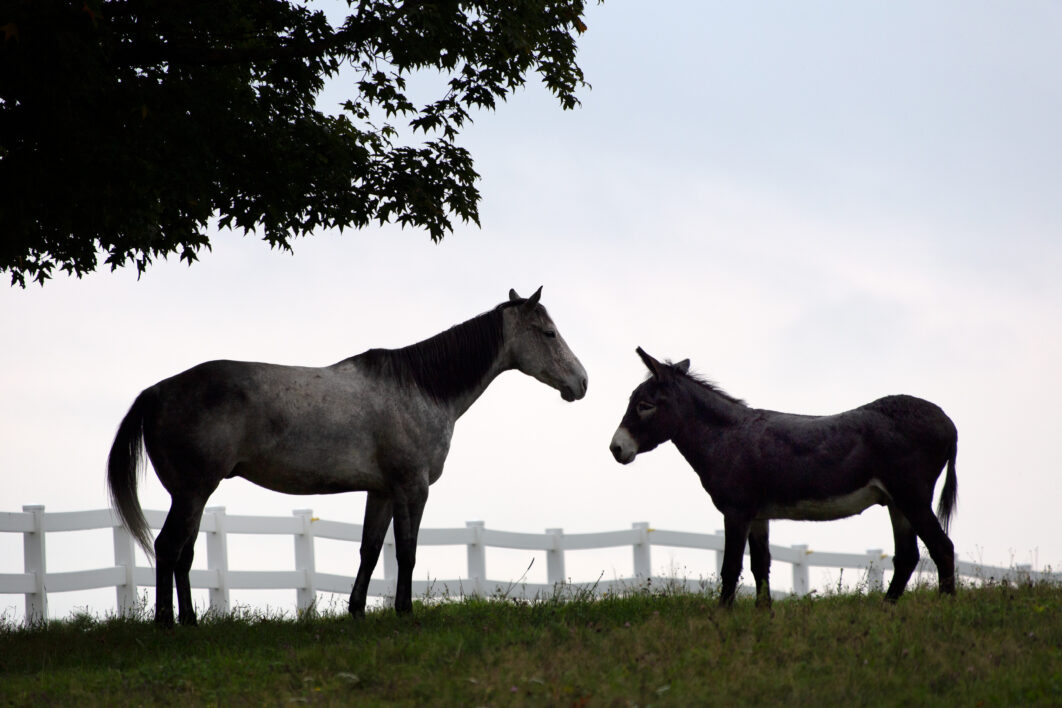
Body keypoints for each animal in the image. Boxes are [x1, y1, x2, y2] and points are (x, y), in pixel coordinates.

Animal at [107, 288, 590, 624]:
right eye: (548, 333)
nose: (582, 382)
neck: (420, 387)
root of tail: (156, 392)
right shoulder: (411, 488)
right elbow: (407, 553)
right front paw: (404, 612)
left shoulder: (381, 491)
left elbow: (370, 551)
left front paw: (357, 610)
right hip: (192, 493)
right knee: (168, 549)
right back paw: (166, 624)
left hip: (193, 496)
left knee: (184, 555)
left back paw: (190, 621)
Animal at [611, 346, 960, 607]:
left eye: (644, 405)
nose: (615, 448)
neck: (726, 437)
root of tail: (947, 421)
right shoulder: (758, 515)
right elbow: (760, 566)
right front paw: (762, 617)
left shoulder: (736, 511)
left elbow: (730, 568)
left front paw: (722, 618)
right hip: (896, 501)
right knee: (908, 557)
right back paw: (886, 610)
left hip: (912, 495)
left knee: (942, 548)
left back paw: (945, 609)